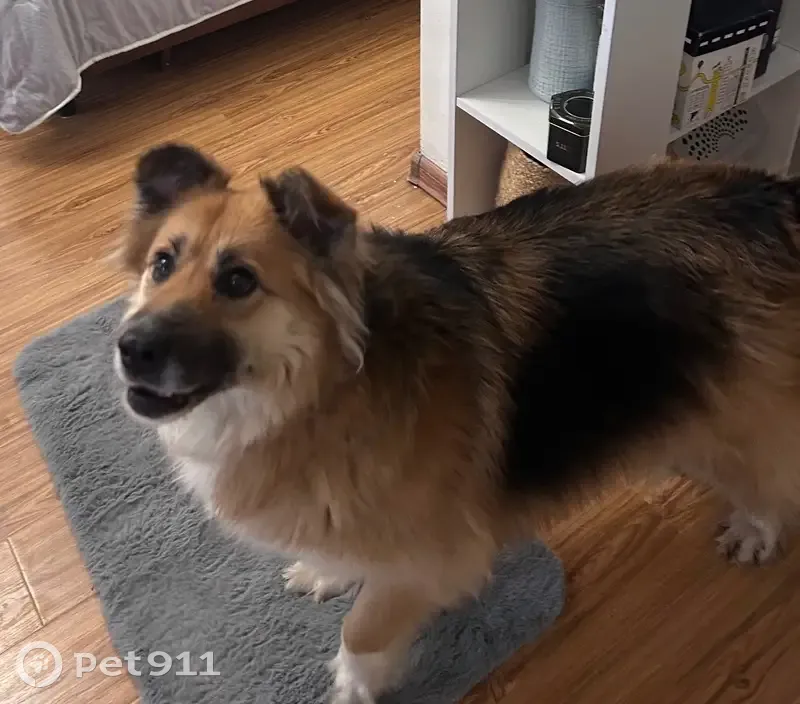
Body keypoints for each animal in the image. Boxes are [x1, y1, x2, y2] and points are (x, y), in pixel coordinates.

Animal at [113, 142, 800, 703]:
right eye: (162, 265)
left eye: (238, 281)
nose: (130, 347)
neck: (325, 394)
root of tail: (774, 196)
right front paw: (331, 570)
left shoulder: (435, 557)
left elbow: (364, 628)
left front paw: (353, 683)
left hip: (738, 418)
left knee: (767, 474)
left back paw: (755, 528)